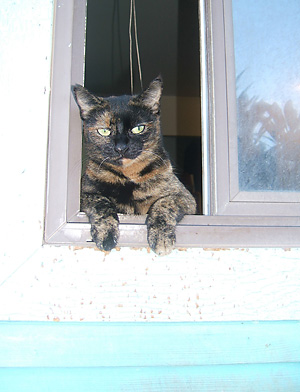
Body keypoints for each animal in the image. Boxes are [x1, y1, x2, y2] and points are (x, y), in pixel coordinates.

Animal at [71, 75, 196, 256]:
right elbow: (101, 203)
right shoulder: (85, 192)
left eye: (138, 128)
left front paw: (161, 238)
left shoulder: (184, 197)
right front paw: (106, 236)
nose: (121, 147)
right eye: (104, 131)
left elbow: (164, 203)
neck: (129, 175)